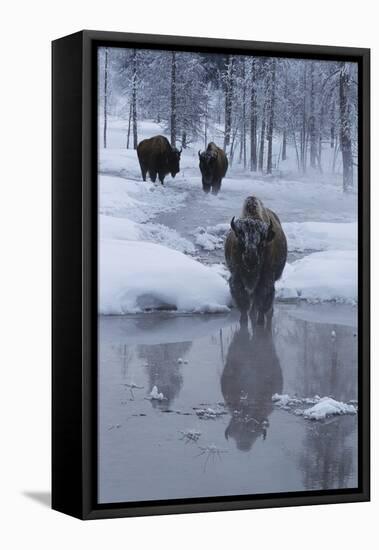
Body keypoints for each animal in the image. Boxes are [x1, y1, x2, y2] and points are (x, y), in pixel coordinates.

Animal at [224, 196, 286, 330]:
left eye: (262, 240)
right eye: (241, 237)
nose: (250, 258)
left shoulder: (266, 279)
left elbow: (262, 301)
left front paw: (260, 322)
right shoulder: (237, 278)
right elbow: (243, 302)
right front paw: (243, 321)